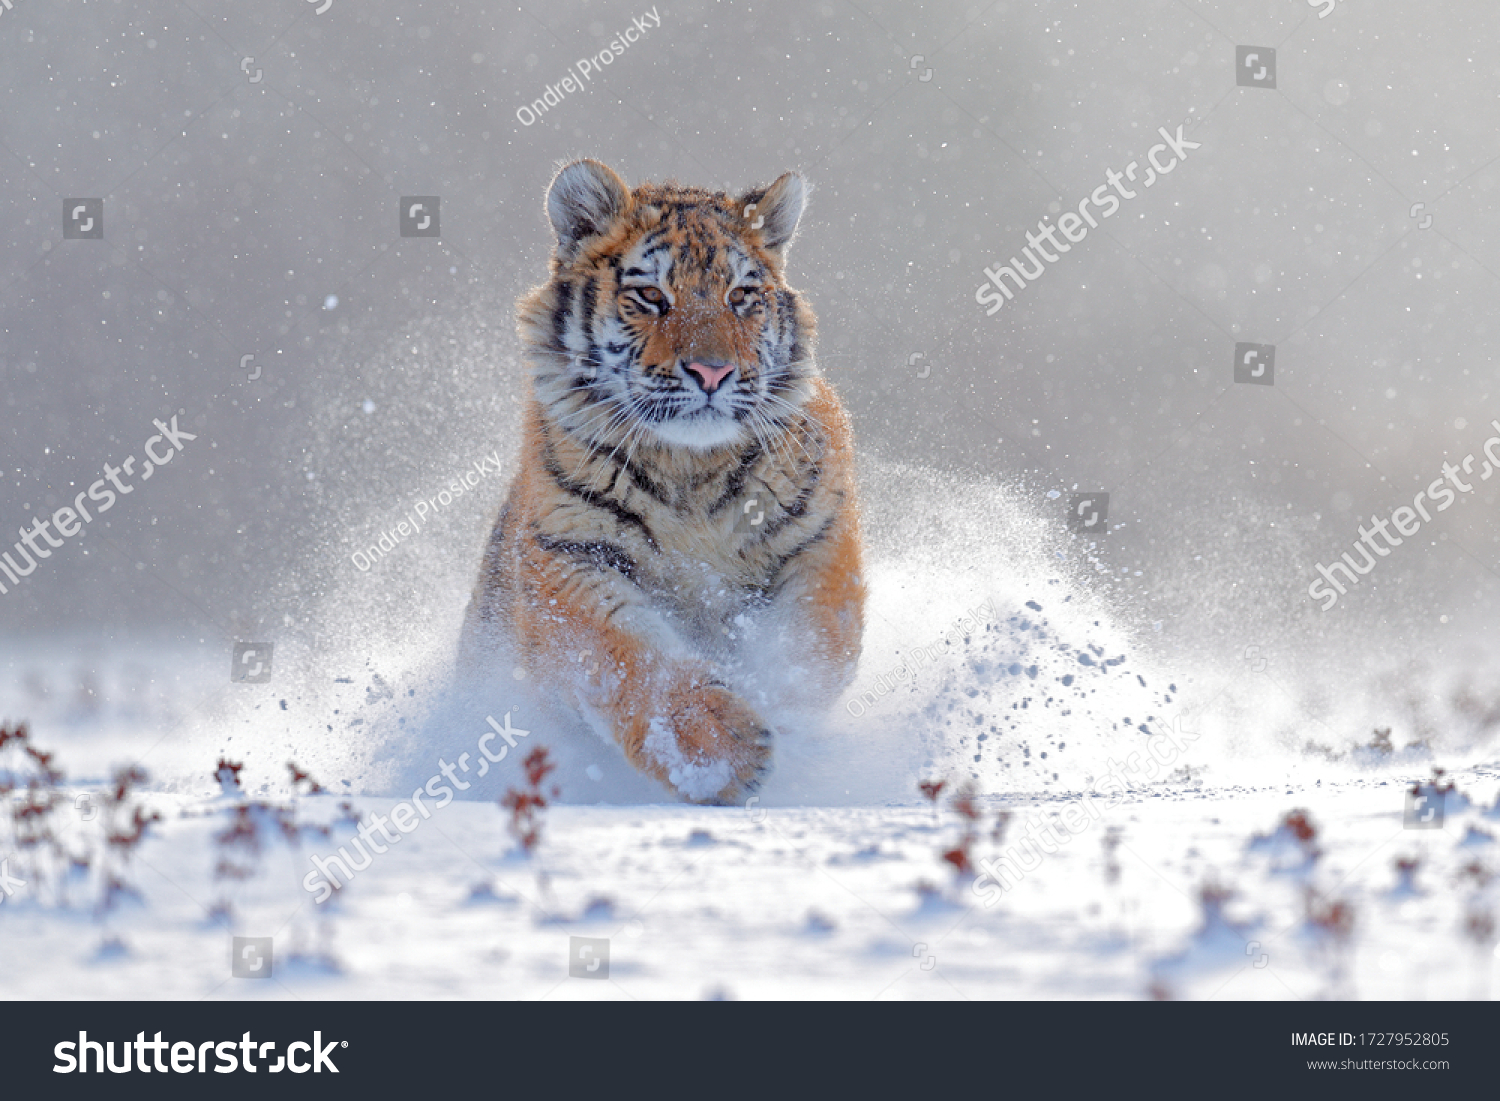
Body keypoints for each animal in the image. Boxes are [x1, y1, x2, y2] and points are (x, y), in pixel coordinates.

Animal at [459, 159, 864, 805]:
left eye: (741, 296)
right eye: (651, 296)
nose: (712, 372)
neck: (689, 469)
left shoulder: (818, 542)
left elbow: (810, 654)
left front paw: (781, 712)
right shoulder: (570, 555)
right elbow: (631, 658)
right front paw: (721, 754)